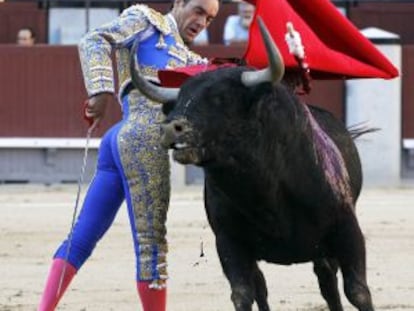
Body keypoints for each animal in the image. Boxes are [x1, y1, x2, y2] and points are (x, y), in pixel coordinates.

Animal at [129, 18, 376, 311]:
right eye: (178, 101)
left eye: (221, 99)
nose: (170, 128)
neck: (263, 187)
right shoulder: (229, 243)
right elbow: (243, 294)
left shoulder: (347, 230)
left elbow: (358, 291)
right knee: (263, 287)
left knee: (327, 280)